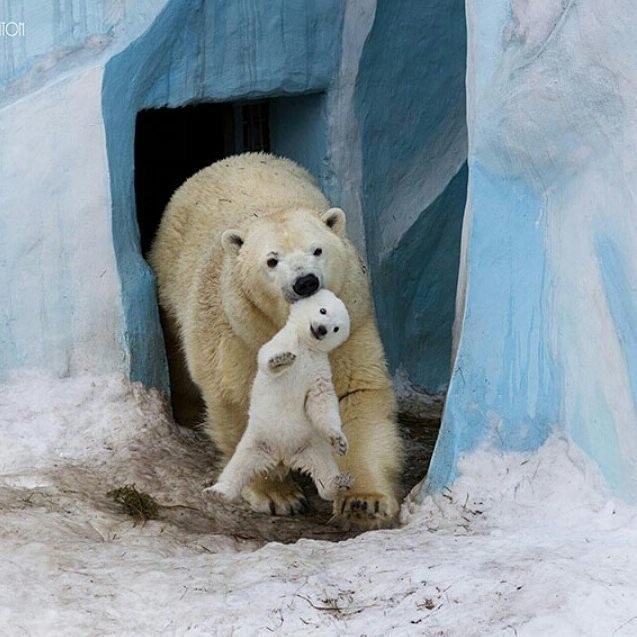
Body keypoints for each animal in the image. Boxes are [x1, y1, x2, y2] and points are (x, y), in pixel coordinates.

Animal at [204, 290, 352, 506]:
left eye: (336, 328)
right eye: (323, 310)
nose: (321, 329)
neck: (306, 346)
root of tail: (283, 456)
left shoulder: (318, 368)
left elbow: (321, 399)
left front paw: (339, 441)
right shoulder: (282, 340)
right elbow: (267, 357)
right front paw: (281, 360)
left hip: (310, 446)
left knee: (323, 469)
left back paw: (339, 484)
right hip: (257, 441)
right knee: (238, 467)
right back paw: (218, 491)